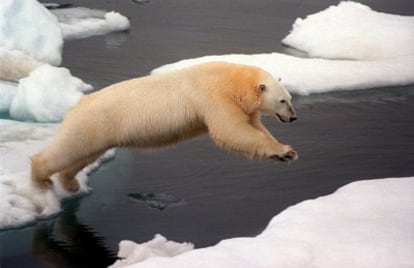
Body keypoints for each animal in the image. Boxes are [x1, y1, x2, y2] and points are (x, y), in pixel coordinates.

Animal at [32, 61, 298, 192]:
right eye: (282, 101)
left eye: (290, 98)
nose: (294, 118)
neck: (233, 80)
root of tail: (75, 106)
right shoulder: (214, 96)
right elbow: (231, 131)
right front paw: (284, 150)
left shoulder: (243, 105)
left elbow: (253, 127)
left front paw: (286, 153)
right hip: (92, 122)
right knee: (67, 150)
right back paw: (41, 178)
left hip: (98, 131)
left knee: (84, 155)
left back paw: (70, 182)